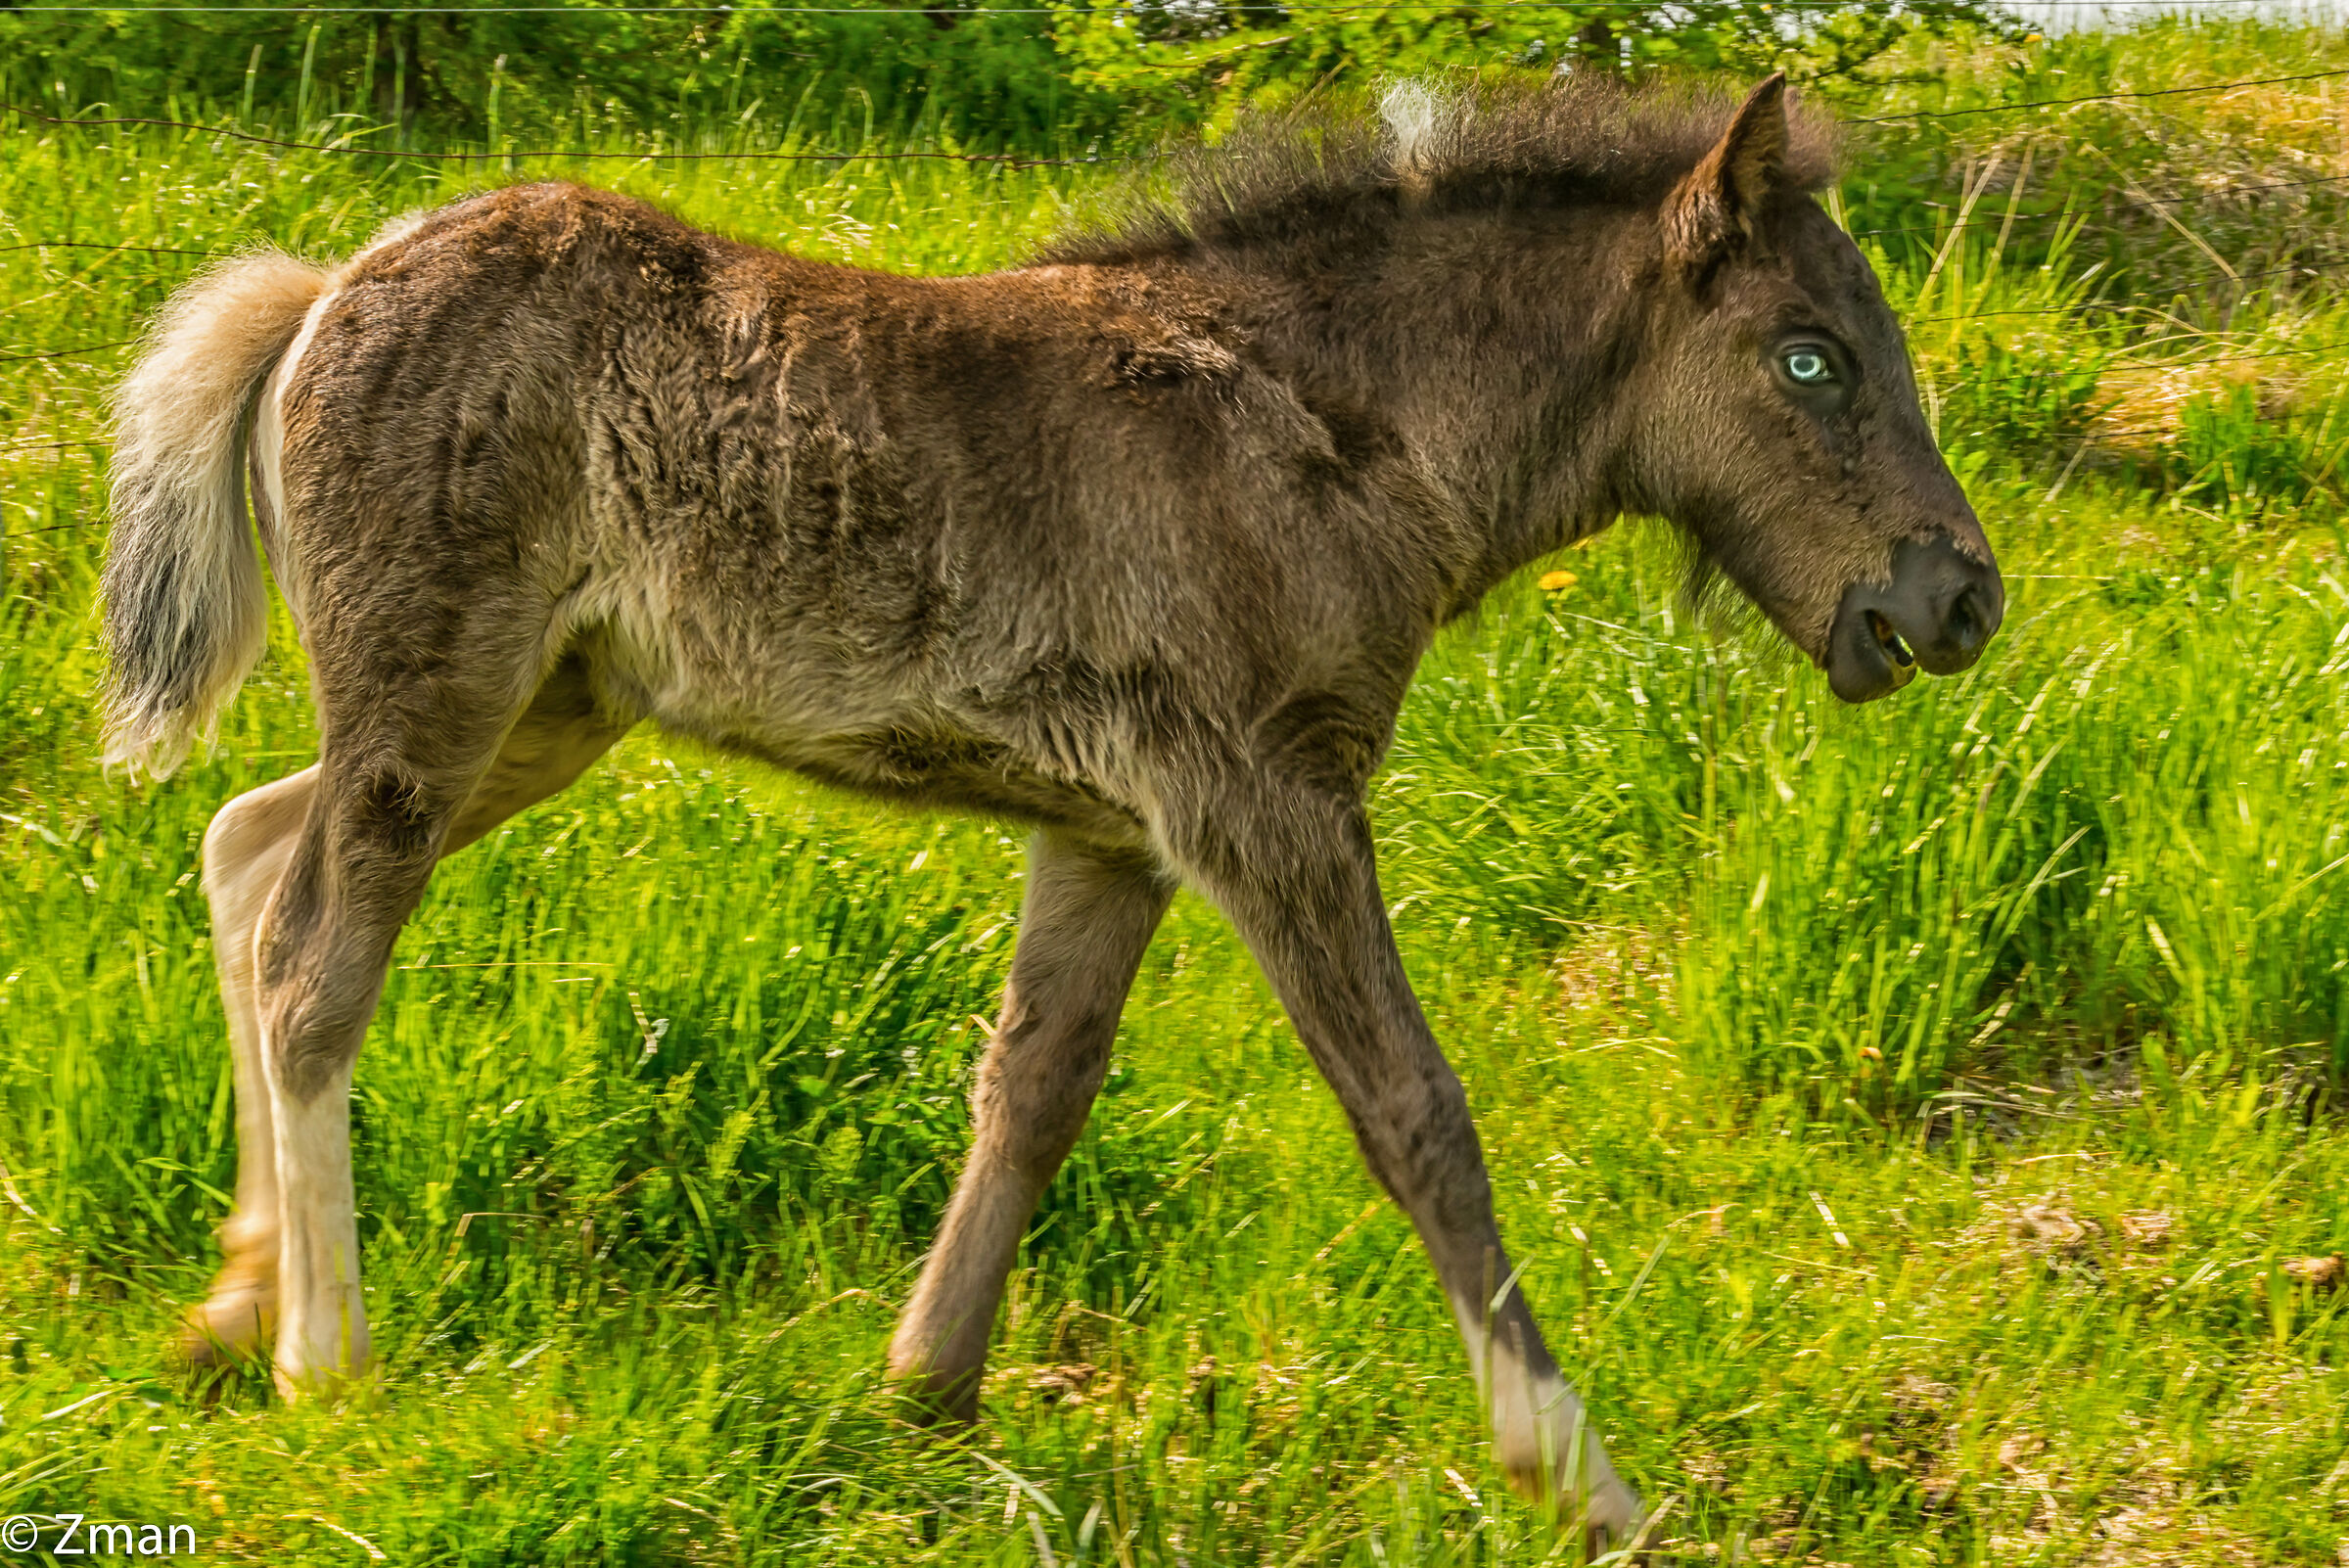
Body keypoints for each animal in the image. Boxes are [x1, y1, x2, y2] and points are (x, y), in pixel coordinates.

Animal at [100, 73, 2002, 1550]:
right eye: (1812, 361)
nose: (1958, 597)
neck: (1332, 429)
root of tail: (320, 288)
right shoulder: (1267, 800)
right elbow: (1414, 1110)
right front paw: (1578, 1474)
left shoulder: (1109, 834)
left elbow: (1035, 1085)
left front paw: (927, 1391)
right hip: (437, 691)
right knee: (316, 966)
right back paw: (326, 1360)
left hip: (542, 709)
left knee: (249, 849)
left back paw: (232, 1302)